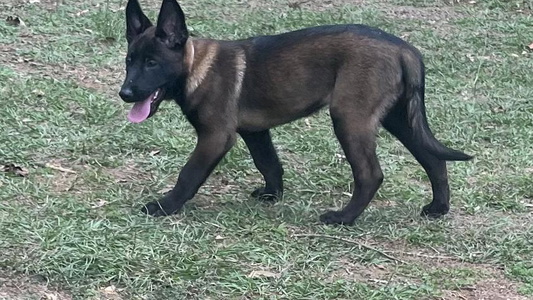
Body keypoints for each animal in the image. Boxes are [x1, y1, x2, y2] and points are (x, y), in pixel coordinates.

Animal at [119, 0, 470, 225]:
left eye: (152, 63)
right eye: (129, 61)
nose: (125, 93)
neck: (194, 66)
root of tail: (403, 48)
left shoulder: (215, 137)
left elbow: (189, 174)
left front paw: (165, 206)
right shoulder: (255, 131)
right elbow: (269, 163)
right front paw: (272, 194)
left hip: (350, 118)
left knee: (371, 174)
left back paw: (343, 218)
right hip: (399, 118)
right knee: (433, 158)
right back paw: (438, 208)